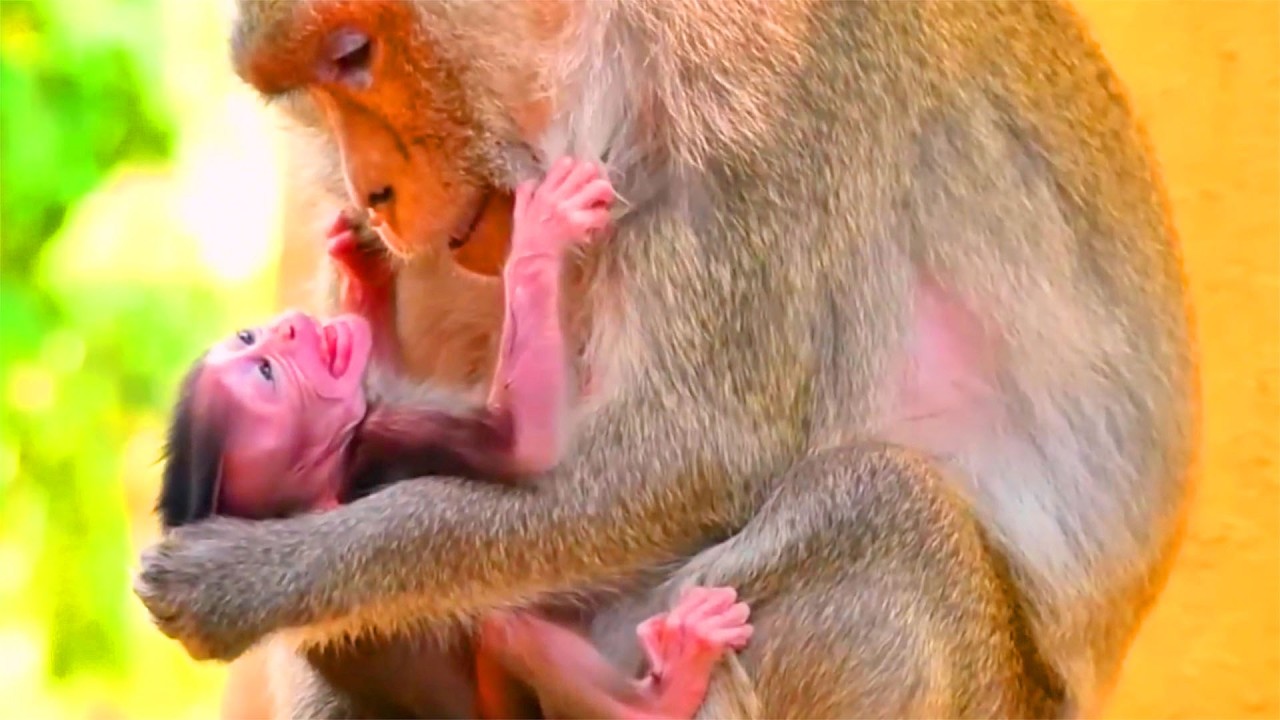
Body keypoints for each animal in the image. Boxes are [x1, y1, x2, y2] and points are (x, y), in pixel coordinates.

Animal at [136, 1, 1199, 717]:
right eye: (315, 90)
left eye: (354, 56)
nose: (375, 191)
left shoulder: (765, 92)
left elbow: (698, 452)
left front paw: (259, 575)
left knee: (882, 510)